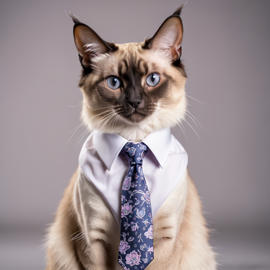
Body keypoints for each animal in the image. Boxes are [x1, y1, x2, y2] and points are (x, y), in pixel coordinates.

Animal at [45, 6, 216, 270]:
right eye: (114, 82)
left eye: (153, 79)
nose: (134, 102)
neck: (134, 143)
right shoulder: (93, 237)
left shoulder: (166, 237)